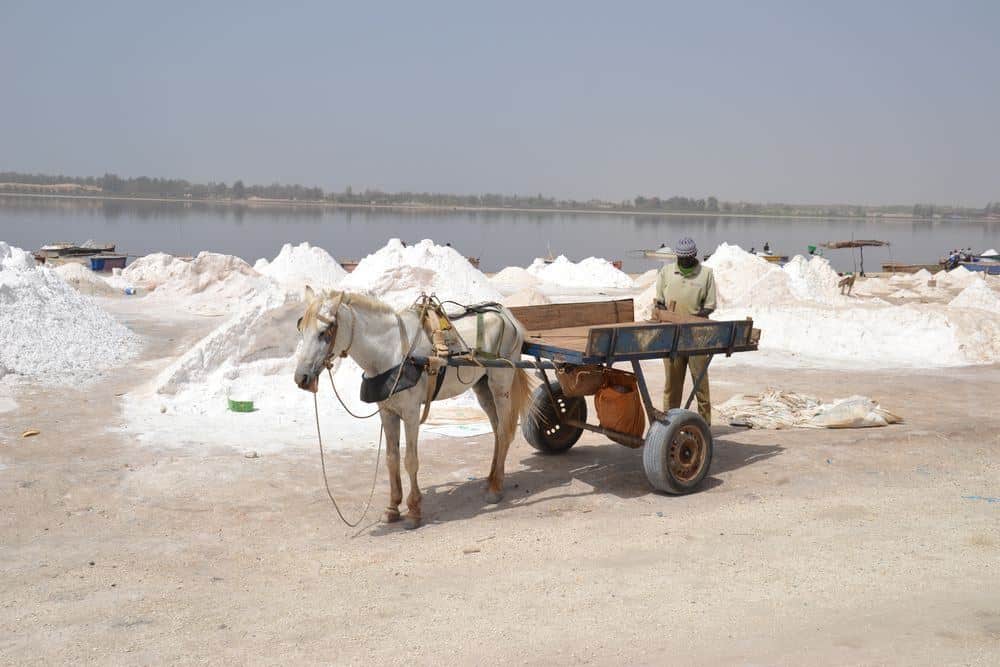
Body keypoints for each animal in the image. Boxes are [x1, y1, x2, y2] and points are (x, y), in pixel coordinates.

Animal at [292, 290, 536, 528]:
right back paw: (492, 478)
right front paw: (392, 508)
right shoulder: (387, 412)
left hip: (501, 383)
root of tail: (507, 314)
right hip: (482, 386)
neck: (392, 352)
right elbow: (391, 458)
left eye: (324, 332)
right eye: (301, 330)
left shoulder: (410, 412)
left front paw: (414, 511)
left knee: (504, 431)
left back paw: (495, 488)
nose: (301, 378)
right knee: (496, 430)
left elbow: (410, 460)